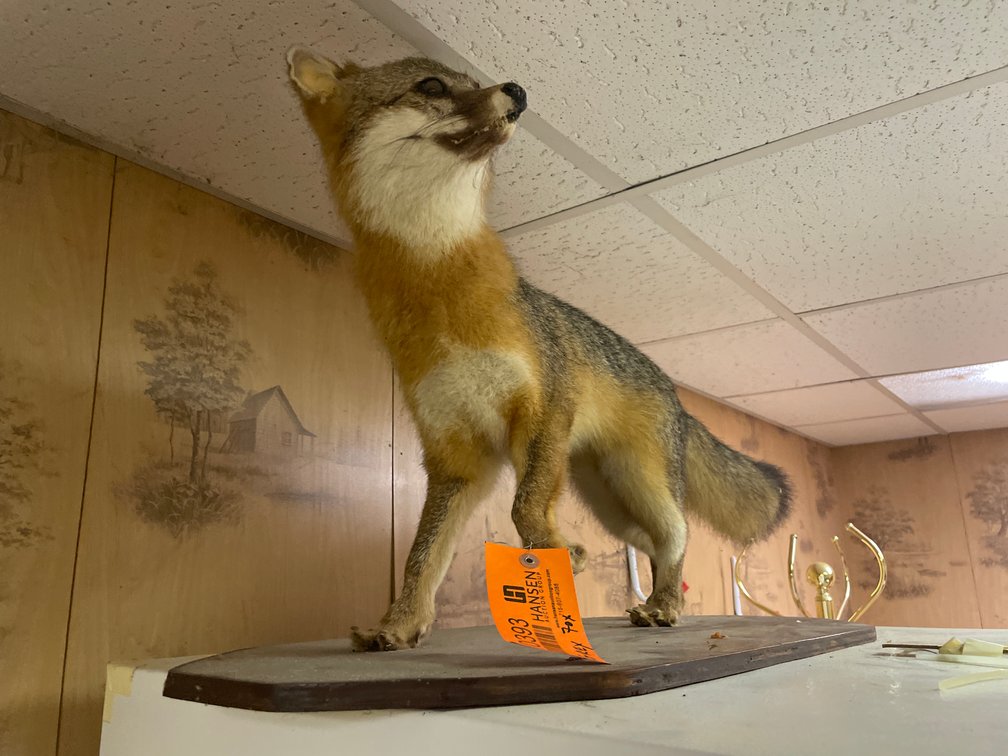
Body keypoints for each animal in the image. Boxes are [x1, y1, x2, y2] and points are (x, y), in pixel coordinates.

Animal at [285, 47, 791, 652]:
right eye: (431, 86)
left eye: (471, 81)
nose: (519, 91)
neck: (441, 295)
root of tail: (677, 396)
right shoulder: (455, 457)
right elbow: (421, 556)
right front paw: (401, 623)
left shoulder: (544, 408)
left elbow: (524, 507)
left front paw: (557, 551)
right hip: (614, 505)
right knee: (653, 544)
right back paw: (653, 601)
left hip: (639, 484)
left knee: (679, 535)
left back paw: (665, 605)